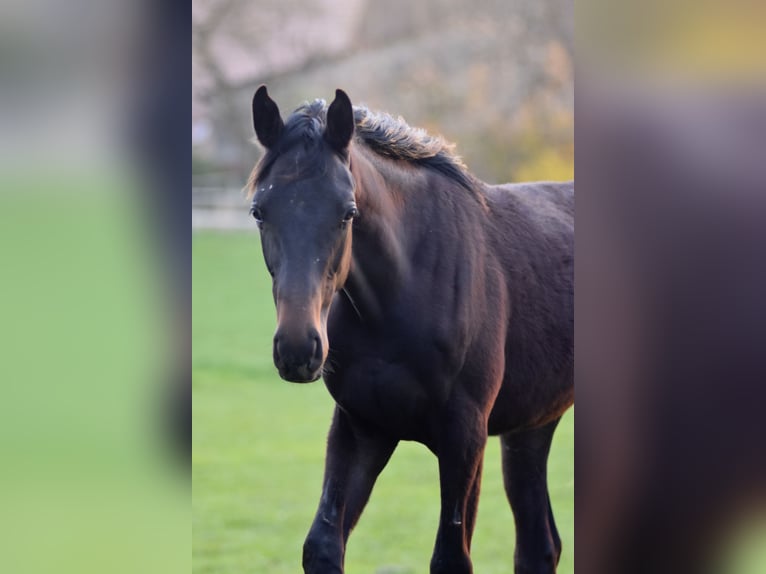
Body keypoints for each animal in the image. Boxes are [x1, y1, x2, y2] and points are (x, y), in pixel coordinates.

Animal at [249, 86, 572, 574]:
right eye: (258, 211)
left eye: (348, 213)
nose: (298, 349)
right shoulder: (361, 427)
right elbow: (322, 545)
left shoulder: (464, 436)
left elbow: (451, 557)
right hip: (532, 424)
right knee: (539, 545)